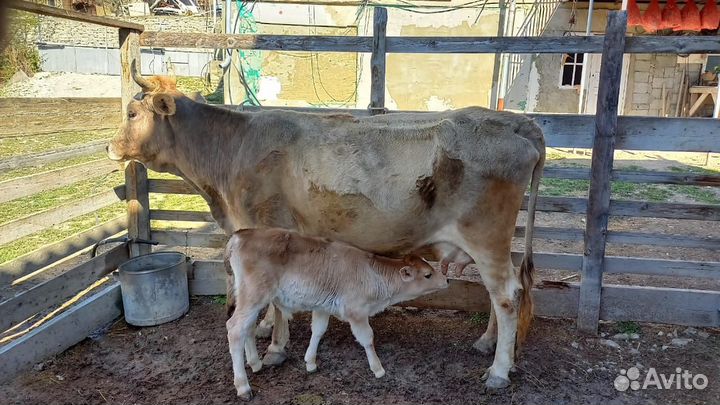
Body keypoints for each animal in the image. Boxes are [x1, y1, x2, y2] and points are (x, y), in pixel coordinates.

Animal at [224, 228, 449, 399]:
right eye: (428, 274)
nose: (447, 280)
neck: (372, 275)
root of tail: (240, 235)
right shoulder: (356, 311)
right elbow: (367, 338)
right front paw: (378, 369)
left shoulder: (323, 307)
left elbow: (318, 331)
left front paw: (310, 362)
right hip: (255, 294)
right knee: (235, 328)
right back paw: (243, 387)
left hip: (250, 297)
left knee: (247, 327)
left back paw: (255, 363)